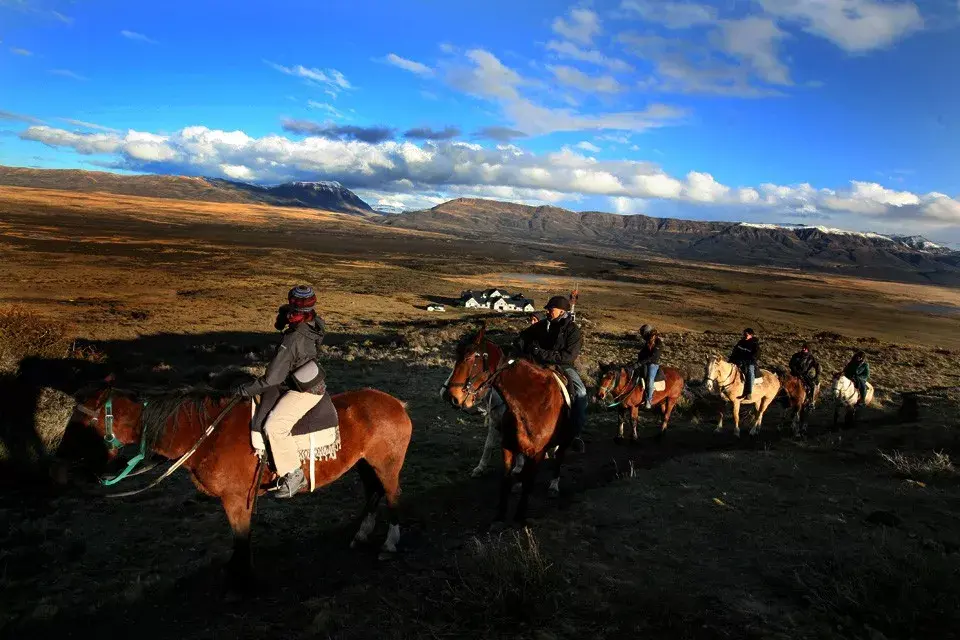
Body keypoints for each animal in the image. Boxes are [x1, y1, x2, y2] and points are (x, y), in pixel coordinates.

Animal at [57, 382, 412, 584]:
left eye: (83, 420)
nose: (62, 459)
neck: (207, 433)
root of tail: (397, 403)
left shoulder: (235, 498)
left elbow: (241, 536)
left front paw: (242, 576)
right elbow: (239, 537)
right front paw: (235, 569)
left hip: (386, 466)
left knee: (394, 495)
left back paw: (390, 544)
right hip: (365, 465)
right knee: (373, 494)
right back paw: (362, 534)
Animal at [440, 324, 568, 524]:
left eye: (469, 358)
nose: (448, 395)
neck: (532, 401)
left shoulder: (536, 450)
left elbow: (529, 480)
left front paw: (519, 516)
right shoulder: (503, 435)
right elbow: (502, 468)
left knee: (560, 456)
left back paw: (554, 485)